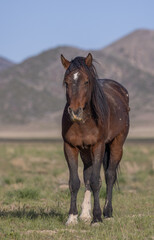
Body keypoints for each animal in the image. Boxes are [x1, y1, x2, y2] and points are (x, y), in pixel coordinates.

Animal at [60, 53, 129, 225]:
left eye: (86, 81)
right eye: (66, 82)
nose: (75, 112)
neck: (84, 121)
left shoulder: (98, 146)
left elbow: (96, 181)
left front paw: (97, 218)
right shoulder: (70, 147)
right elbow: (75, 182)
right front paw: (72, 217)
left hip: (117, 144)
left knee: (110, 176)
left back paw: (108, 213)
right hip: (86, 151)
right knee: (86, 175)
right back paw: (85, 214)